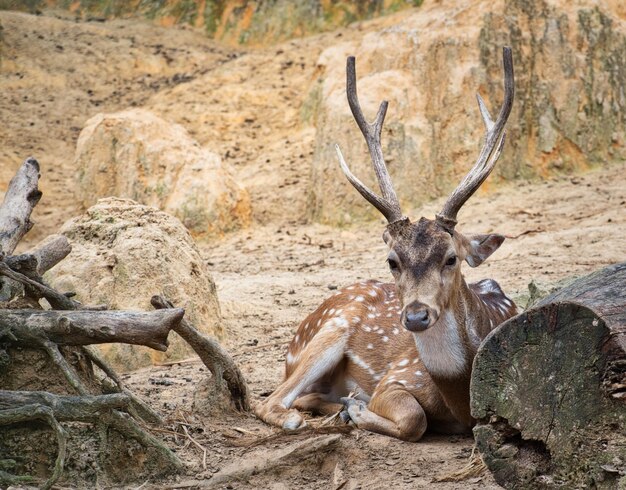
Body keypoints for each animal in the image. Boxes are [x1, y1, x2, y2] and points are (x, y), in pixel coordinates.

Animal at [254, 47, 516, 442]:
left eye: (451, 258)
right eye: (393, 260)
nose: (416, 315)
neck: (459, 395)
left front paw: (354, 408)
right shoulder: (396, 376)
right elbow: (414, 419)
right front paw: (359, 408)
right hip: (331, 331)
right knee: (273, 401)